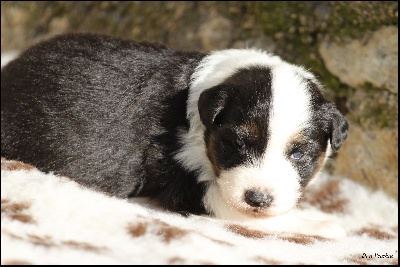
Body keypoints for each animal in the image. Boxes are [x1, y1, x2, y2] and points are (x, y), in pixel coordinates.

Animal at [0, 33, 346, 239]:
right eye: (237, 143)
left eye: (298, 154)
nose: (258, 199)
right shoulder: (185, 184)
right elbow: (252, 217)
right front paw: (326, 225)